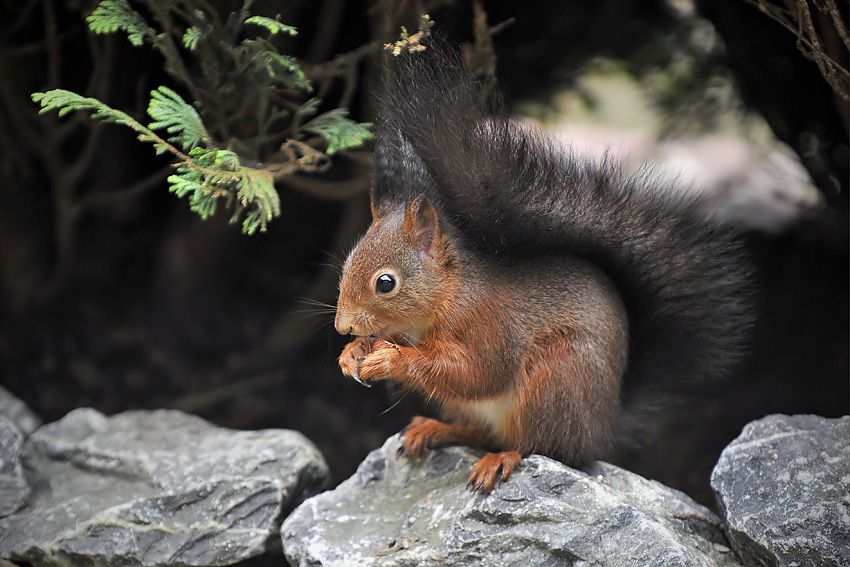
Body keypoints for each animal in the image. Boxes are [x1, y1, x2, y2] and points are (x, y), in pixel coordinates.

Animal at [332, 38, 748, 492]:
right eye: (346, 267)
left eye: (385, 283)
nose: (342, 327)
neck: (446, 299)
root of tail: (602, 429)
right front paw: (353, 353)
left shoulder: (491, 327)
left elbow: (474, 372)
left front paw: (389, 359)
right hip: (483, 405)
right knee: (483, 432)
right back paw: (435, 429)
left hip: (555, 381)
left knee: (541, 447)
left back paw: (501, 459)